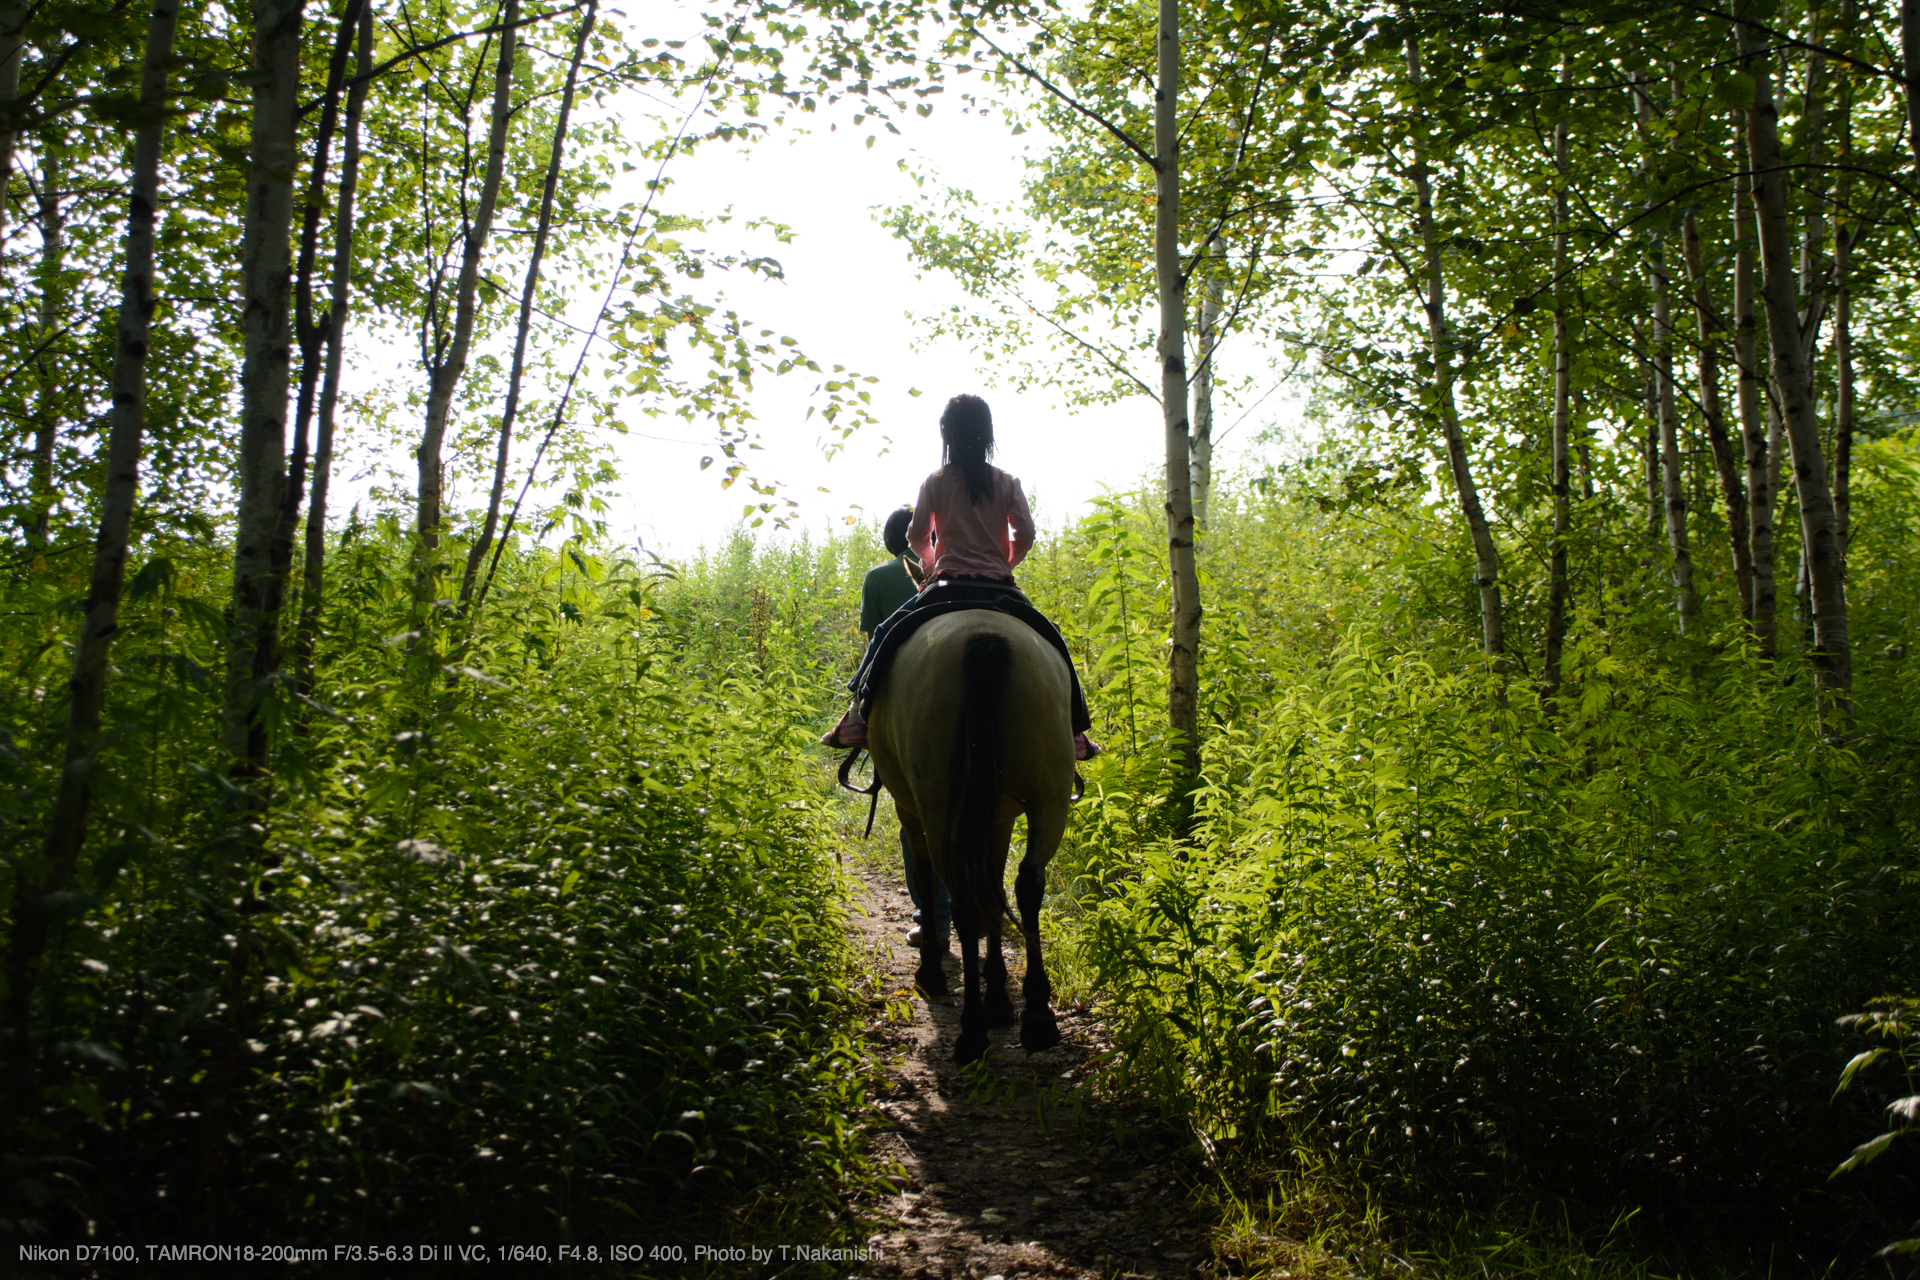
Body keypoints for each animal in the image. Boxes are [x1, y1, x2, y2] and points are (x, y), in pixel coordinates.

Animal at [864, 610, 1075, 1059]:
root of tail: (984, 640)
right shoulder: (998, 816)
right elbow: (993, 888)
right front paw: (998, 995)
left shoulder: (911, 810)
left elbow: (927, 881)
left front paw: (933, 974)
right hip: (1050, 796)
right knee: (1028, 882)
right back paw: (1037, 1016)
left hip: (941, 807)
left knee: (961, 898)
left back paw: (972, 1031)